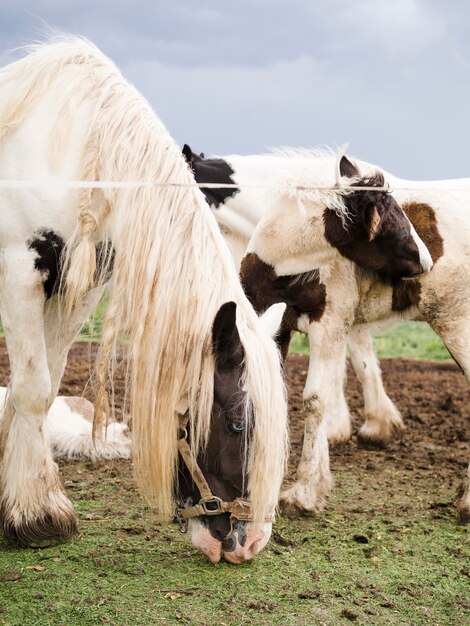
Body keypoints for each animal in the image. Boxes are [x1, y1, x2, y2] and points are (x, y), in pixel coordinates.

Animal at [0, 36, 290, 560]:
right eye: (238, 424)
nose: (250, 542)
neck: (77, 158)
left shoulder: (76, 290)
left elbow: (40, 386)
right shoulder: (21, 270)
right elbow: (32, 390)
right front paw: (37, 515)